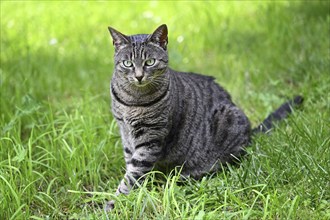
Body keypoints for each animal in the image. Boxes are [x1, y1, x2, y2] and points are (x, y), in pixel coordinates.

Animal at [105, 24, 302, 210]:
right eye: (128, 63)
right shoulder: (125, 133)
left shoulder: (151, 138)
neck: (132, 101)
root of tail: (250, 132)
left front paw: (114, 203)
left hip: (228, 124)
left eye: (150, 62)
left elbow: (132, 175)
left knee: (225, 163)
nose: (139, 76)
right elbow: (131, 165)